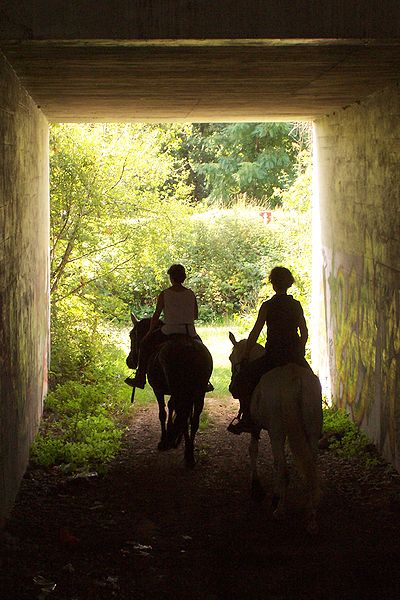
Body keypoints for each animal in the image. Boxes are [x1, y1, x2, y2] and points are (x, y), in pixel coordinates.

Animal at [126, 314, 214, 468]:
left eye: (132, 335)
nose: (129, 361)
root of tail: (189, 349)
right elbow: (174, 410)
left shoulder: (158, 390)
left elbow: (162, 413)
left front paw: (164, 440)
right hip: (198, 393)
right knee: (192, 420)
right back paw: (189, 454)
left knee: (184, 417)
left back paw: (184, 451)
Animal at [228, 332, 322, 536]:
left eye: (231, 358)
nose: (231, 387)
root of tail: (295, 379)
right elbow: (274, 462)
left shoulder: (257, 427)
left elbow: (253, 451)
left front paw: (258, 489)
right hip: (311, 431)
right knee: (311, 470)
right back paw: (311, 518)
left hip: (277, 432)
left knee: (285, 471)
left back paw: (280, 510)